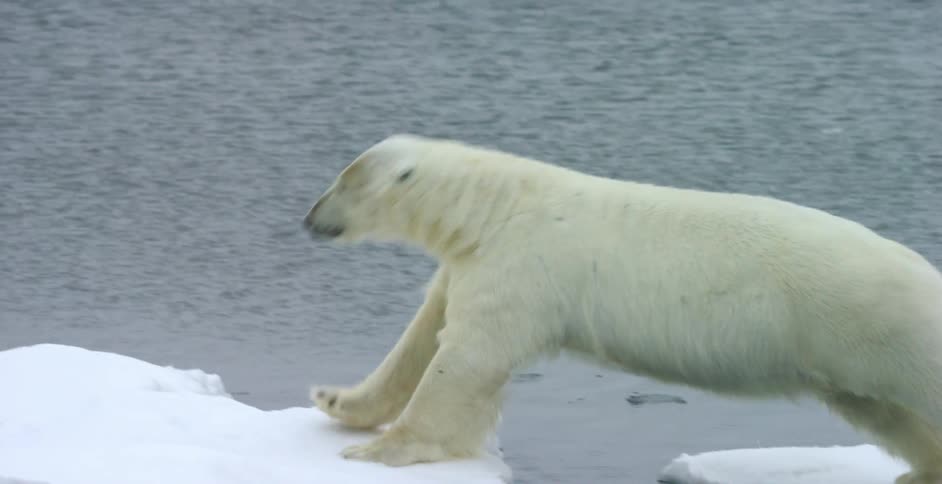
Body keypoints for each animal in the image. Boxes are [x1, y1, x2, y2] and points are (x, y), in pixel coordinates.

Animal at [302, 134, 942, 484]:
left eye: (342, 182)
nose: (309, 217)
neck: (493, 209)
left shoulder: (522, 267)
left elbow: (466, 360)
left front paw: (378, 450)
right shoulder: (474, 263)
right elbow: (421, 336)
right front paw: (337, 401)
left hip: (879, 326)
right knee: (888, 415)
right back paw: (920, 469)